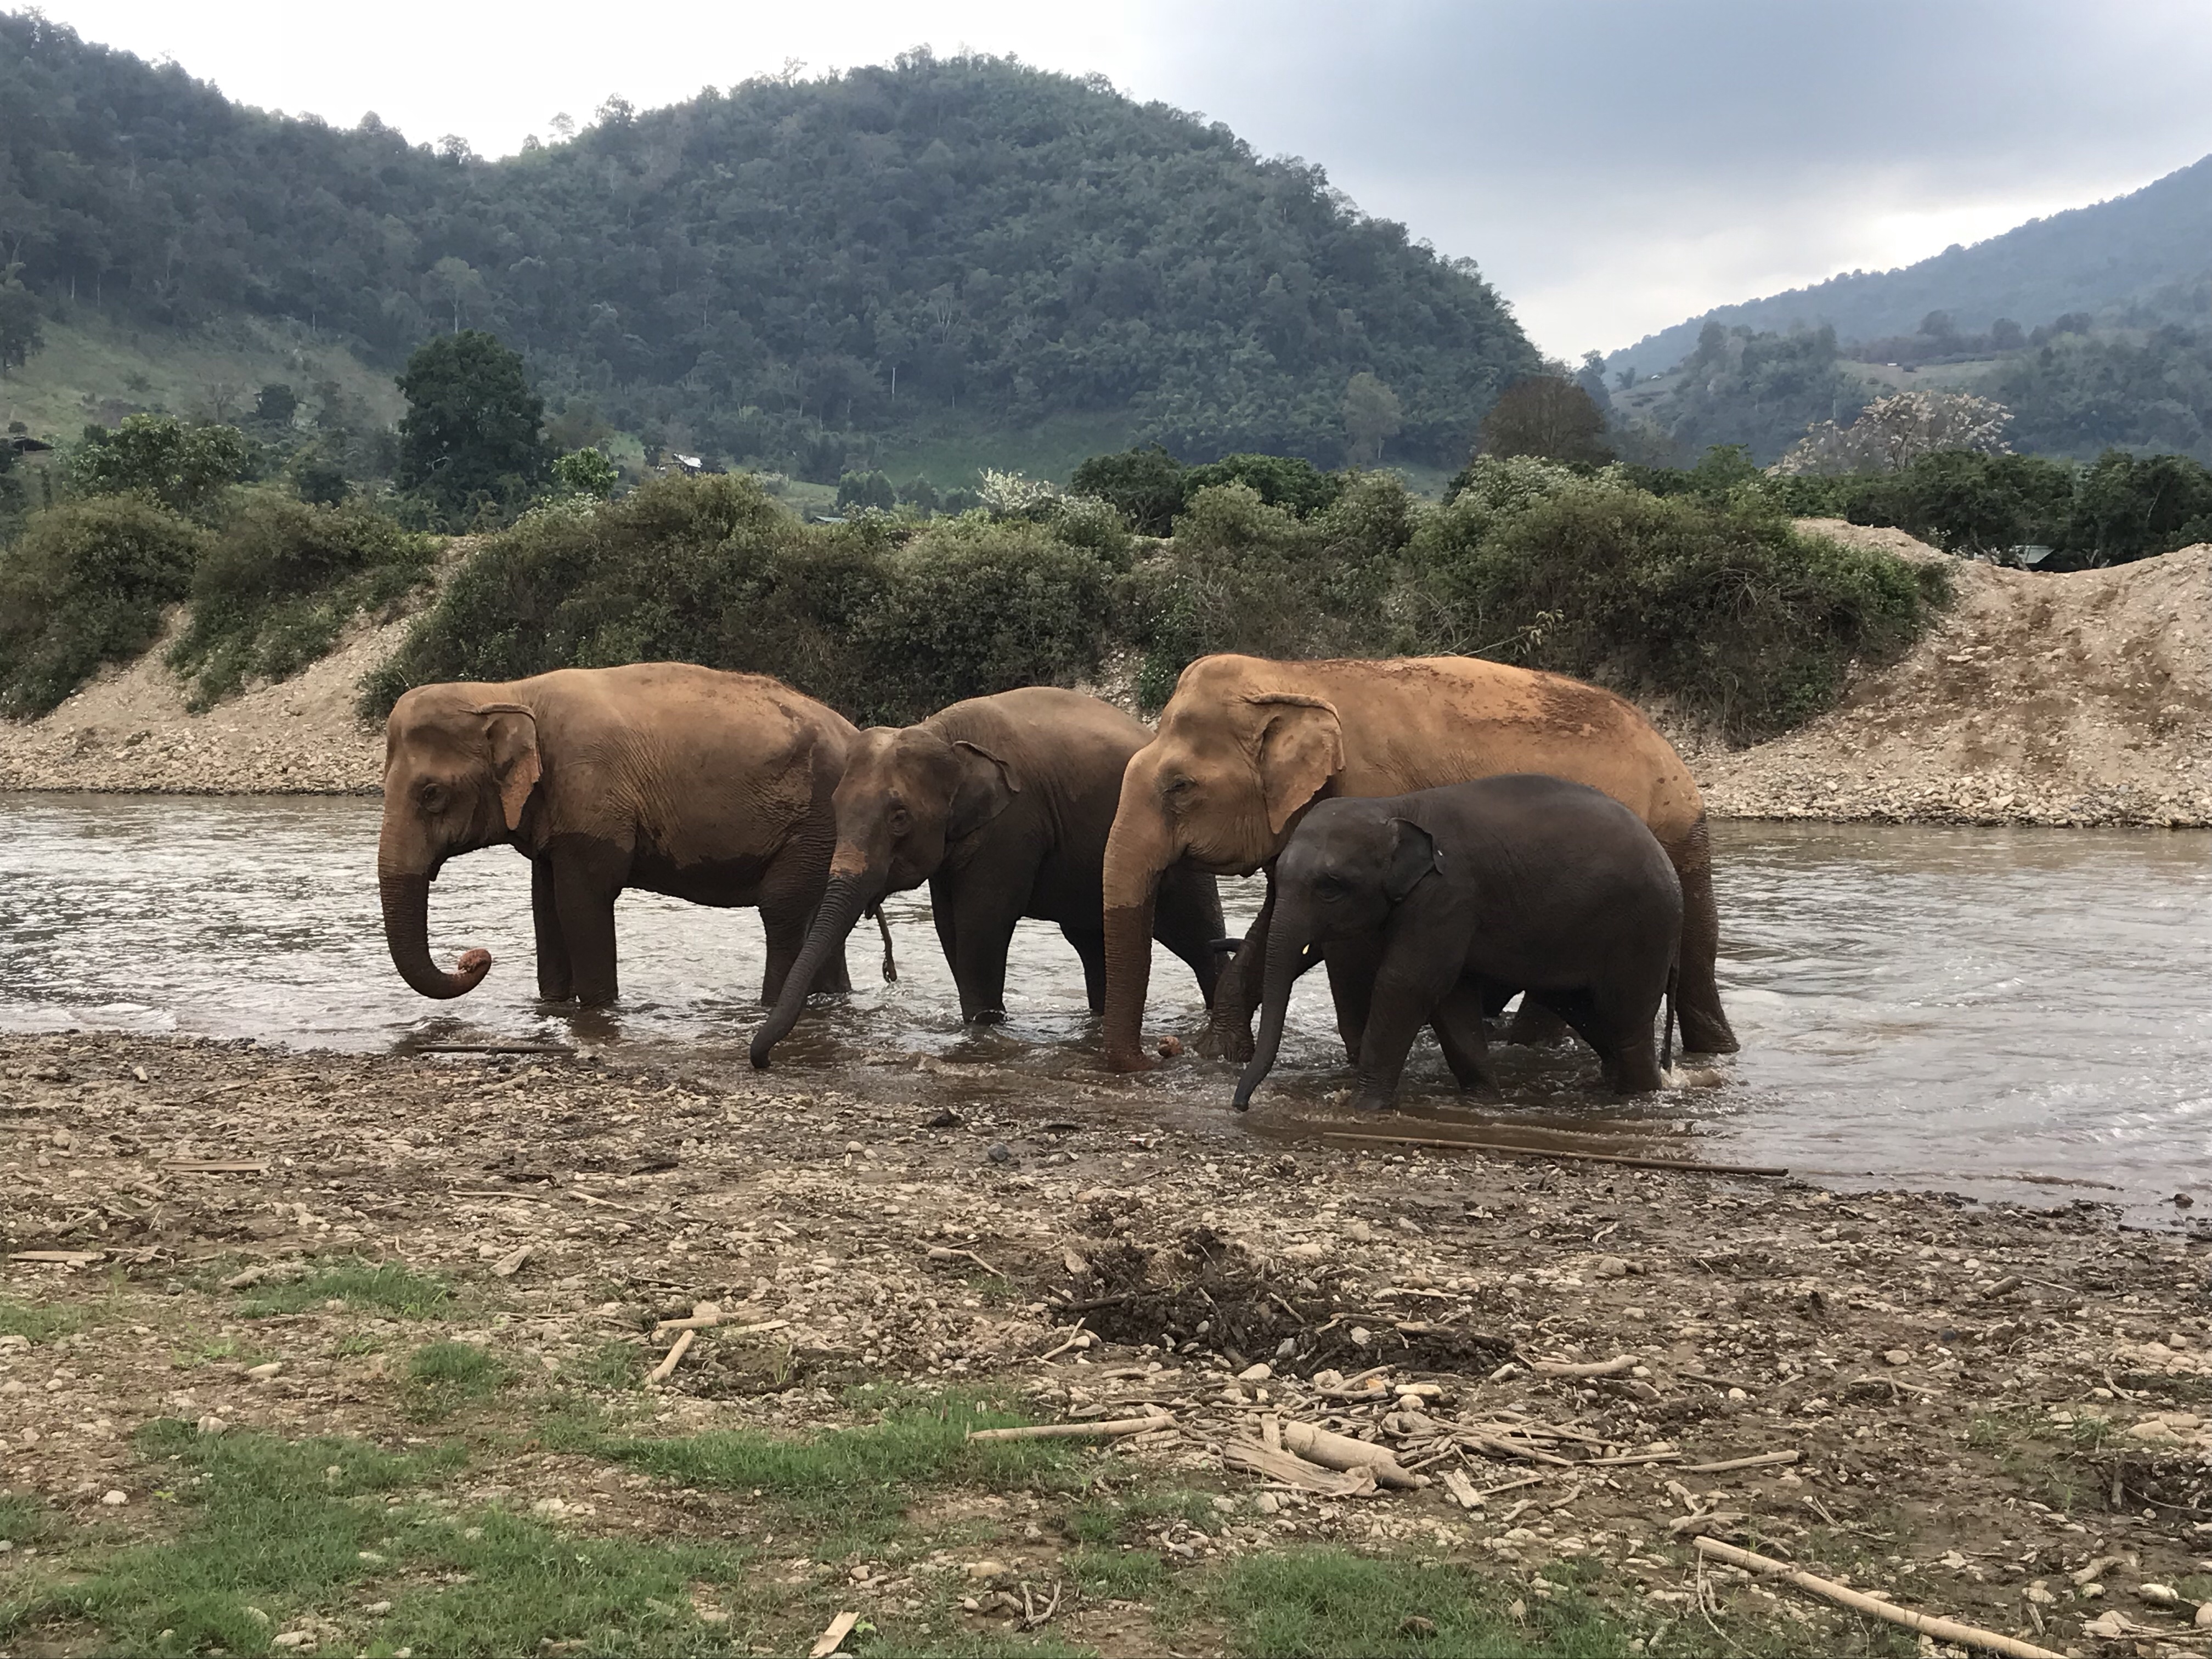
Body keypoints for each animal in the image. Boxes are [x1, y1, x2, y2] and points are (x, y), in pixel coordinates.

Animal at [377, 663, 857, 1009]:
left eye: (432, 795)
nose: (474, 957)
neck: (511, 692)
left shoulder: (590, 791)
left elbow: (581, 902)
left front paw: (599, 1009)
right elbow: (545, 905)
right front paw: (553, 1006)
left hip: (814, 822)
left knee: (782, 909)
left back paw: (770, 1005)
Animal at [748, 686, 1226, 1066]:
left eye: (899, 818)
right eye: (834, 806)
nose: (765, 1060)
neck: (941, 732)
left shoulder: (1012, 826)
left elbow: (982, 927)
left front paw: (985, 1030)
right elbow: (950, 930)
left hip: (1177, 848)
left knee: (1197, 938)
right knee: (1093, 945)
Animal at [1098, 652, 1735, 1073]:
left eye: (1179, 787)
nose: (1157, 1057)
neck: (1298, 677)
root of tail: (1669, 749)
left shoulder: (1367, 796)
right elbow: (1276, 920)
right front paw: (1218, 1056)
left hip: (1666, 840)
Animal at [1234, 774, 1683, 1112]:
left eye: (1330, 886)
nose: (1240, 1105)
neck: (1395, 808)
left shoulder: (1447, 896)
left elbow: (1407, 983)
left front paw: (1362, 1107)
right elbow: (1451, 998)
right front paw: (1483, 1099)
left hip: (1643, 929)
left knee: (1625, 1018)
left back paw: (1637, 1096)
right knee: (1581, 1006)